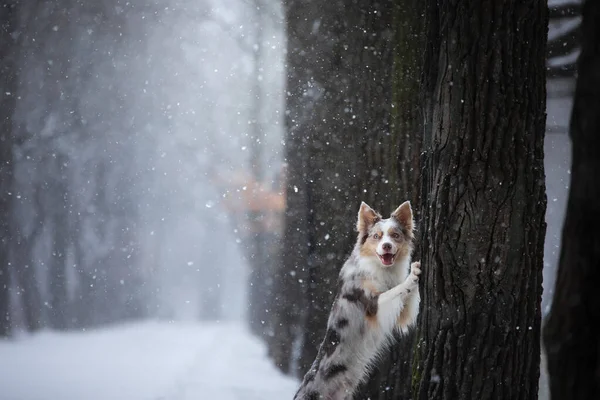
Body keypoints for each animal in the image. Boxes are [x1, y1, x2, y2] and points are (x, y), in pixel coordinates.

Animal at [292, 202, 420, 398]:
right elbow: (395, 290)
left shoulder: (402, 314)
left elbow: (407, 300)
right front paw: (411, 275)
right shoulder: (372, 304)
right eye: (377, 236)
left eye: (395, 235)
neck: (381, 269)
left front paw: (416, 275)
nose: (387, 246)